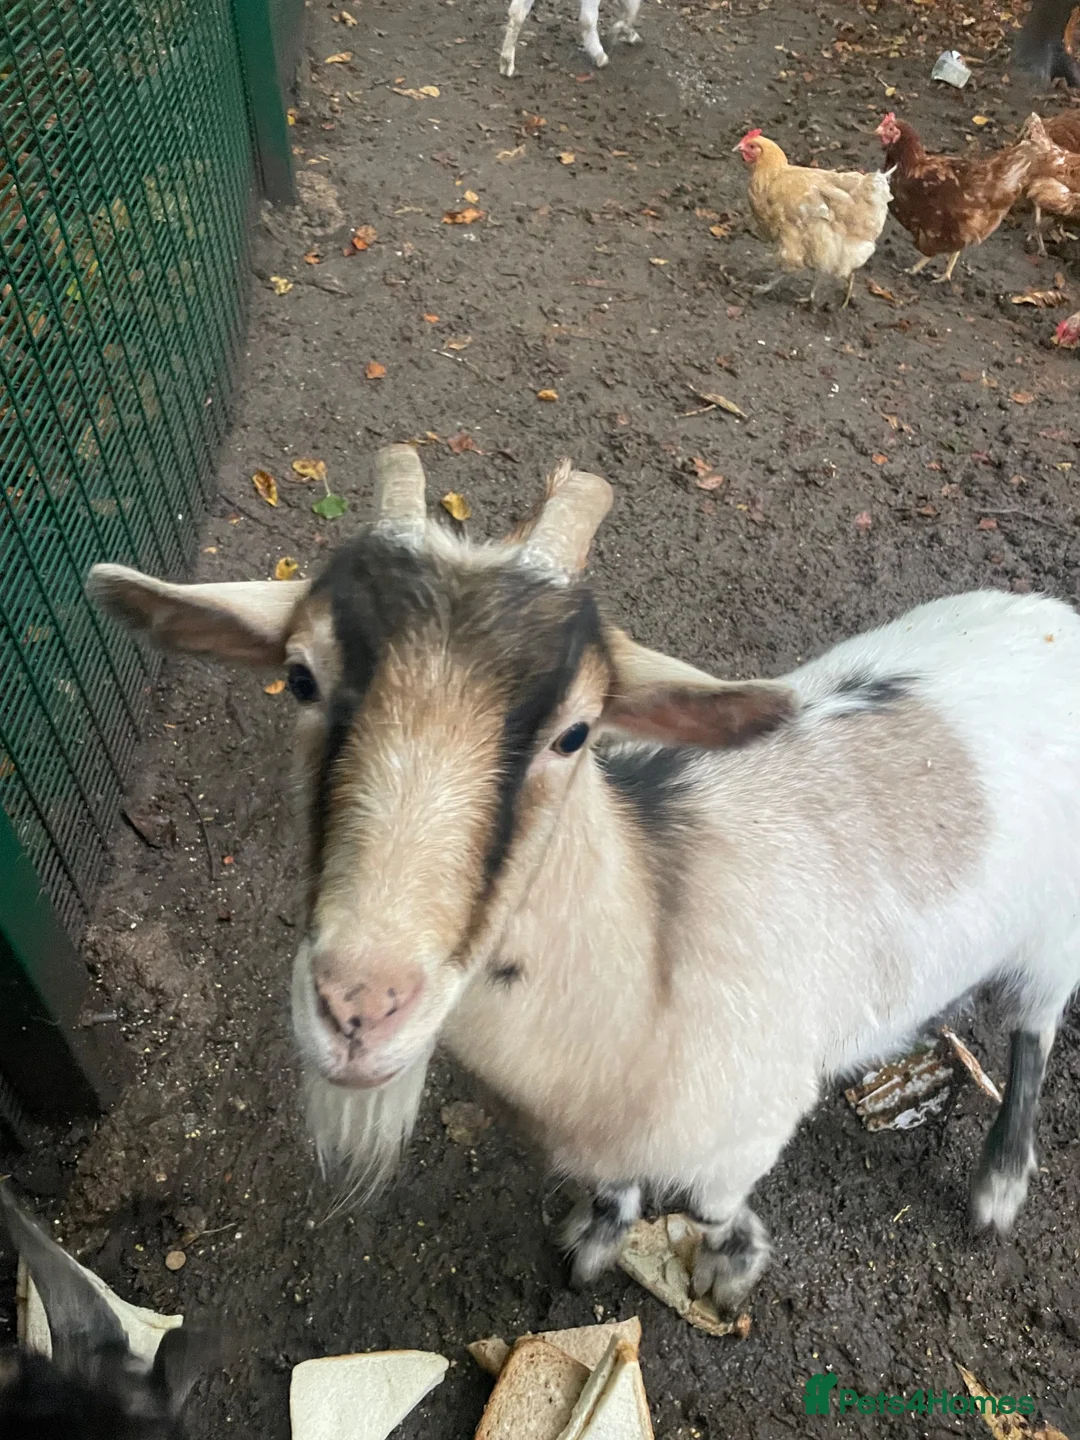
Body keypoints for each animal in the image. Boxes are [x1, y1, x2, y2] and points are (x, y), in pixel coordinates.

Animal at [86, 447, 1080, 1311]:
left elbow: (713, 1207)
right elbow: (612, 1188)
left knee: (1033, 1033)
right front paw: (600, 1236)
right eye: (298, 678)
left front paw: (734, 1262)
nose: (361, 1008)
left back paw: (998, 1186)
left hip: (1054, 936)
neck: (657, 948)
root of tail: (1058, 619)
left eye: (575, 732)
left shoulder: (749, 1128)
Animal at [499, 0, 642, 77]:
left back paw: (506, 64)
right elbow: (631, 8)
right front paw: (623, 32)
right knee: (587, 18)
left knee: (516, 11)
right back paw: (600, 56)